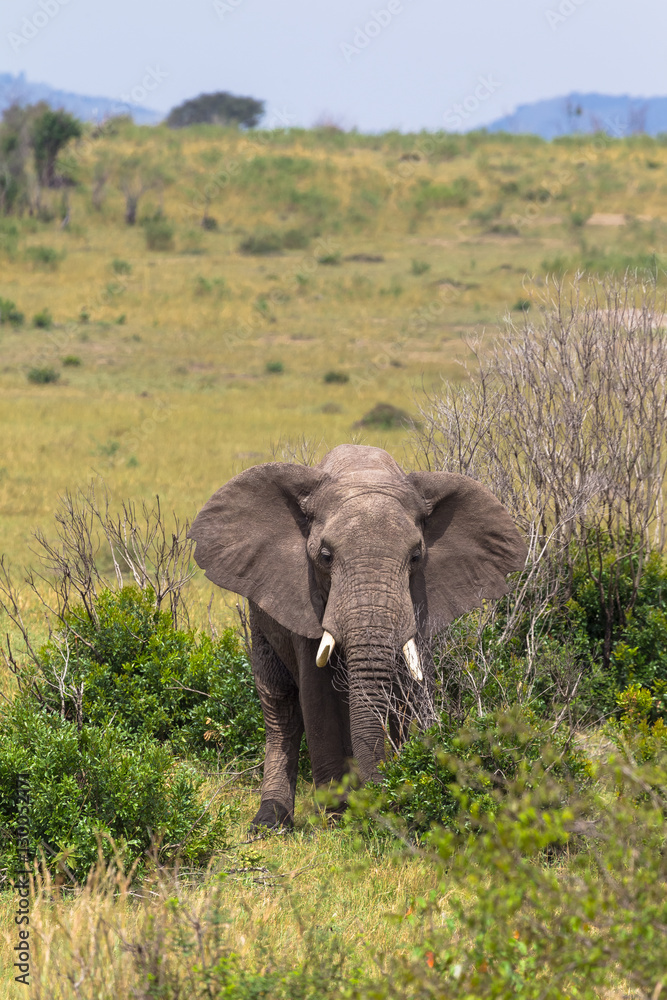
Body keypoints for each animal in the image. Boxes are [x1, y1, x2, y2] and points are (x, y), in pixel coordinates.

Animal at [189, 444, 527, 830]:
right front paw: (338, 815)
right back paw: (269, 823)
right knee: (279, 707)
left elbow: (406, 688)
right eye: (325, 556)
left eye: (416, 557)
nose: (385, 793)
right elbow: (317, 694)